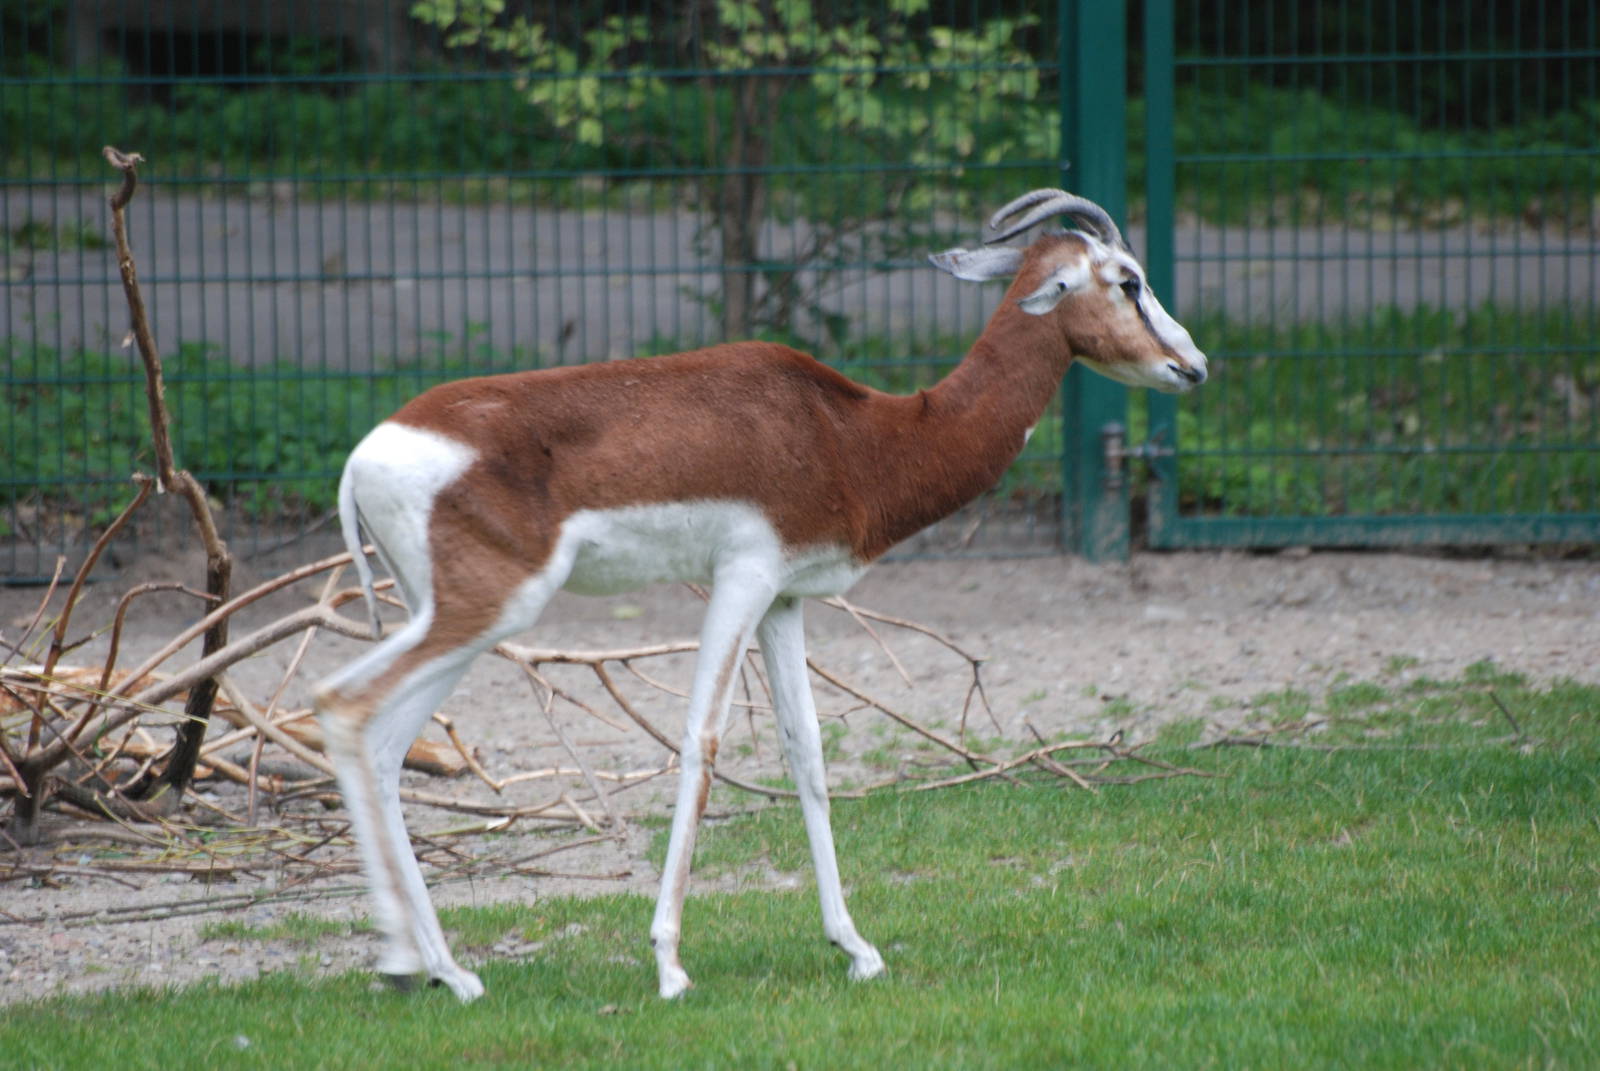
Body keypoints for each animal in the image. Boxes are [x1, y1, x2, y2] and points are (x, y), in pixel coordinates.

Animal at [313, 188, 1207, 1002]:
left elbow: (804, 749)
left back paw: (443, 970)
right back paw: (410, 962)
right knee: (343, 703)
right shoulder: (741, 577)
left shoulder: (785, 598)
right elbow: (702, 740)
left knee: (383, 742)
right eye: (1127, 279)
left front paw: (856, 947)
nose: (1193, 365)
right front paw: (670, 964)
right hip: (487, 609)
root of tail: (361, 459)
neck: (852, 435)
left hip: (446, 615)